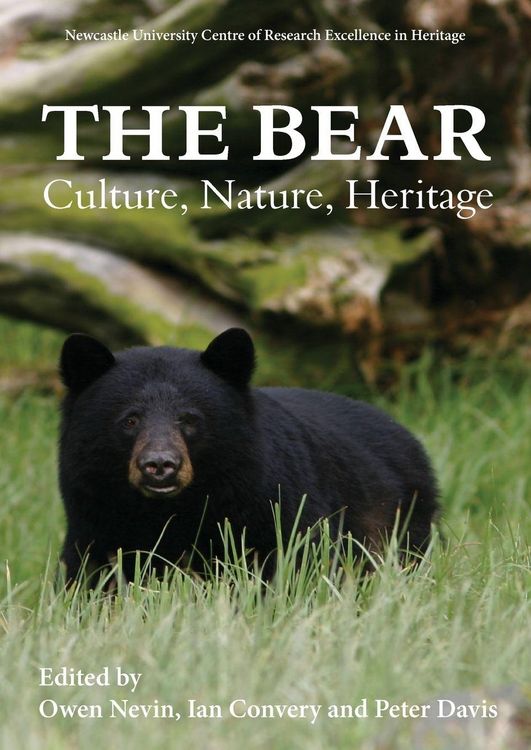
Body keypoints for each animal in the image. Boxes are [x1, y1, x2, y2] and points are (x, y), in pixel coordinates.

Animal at [58, 328, 439, 584]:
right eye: (130, 420)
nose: (160, 465)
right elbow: (94, 574)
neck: (172, 508)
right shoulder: (95, 514)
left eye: (190, 419)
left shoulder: (269, 502)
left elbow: (295, 558)